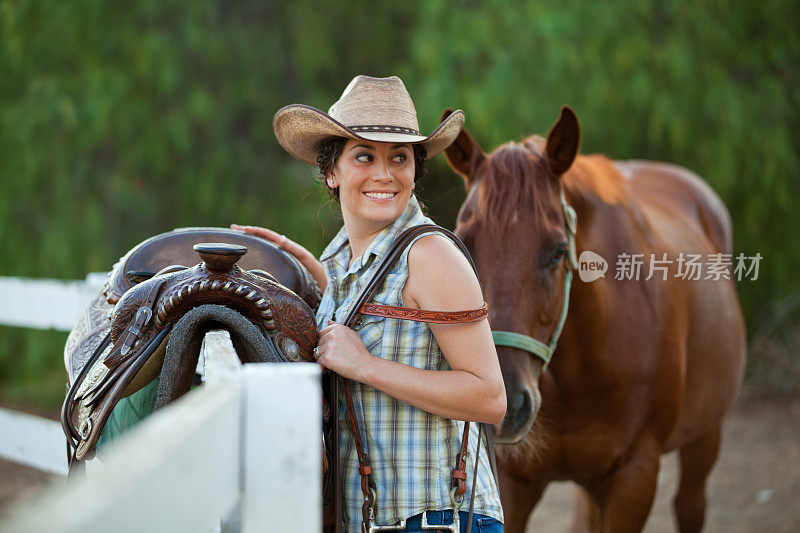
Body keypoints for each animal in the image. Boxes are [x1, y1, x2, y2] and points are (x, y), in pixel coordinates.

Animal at [440, 106, 748, 528]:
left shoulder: (633, 479)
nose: (503, 404)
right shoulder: (512, 482)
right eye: (464, 243)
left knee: (690, 504)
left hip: (704, 436)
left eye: (557, 251)